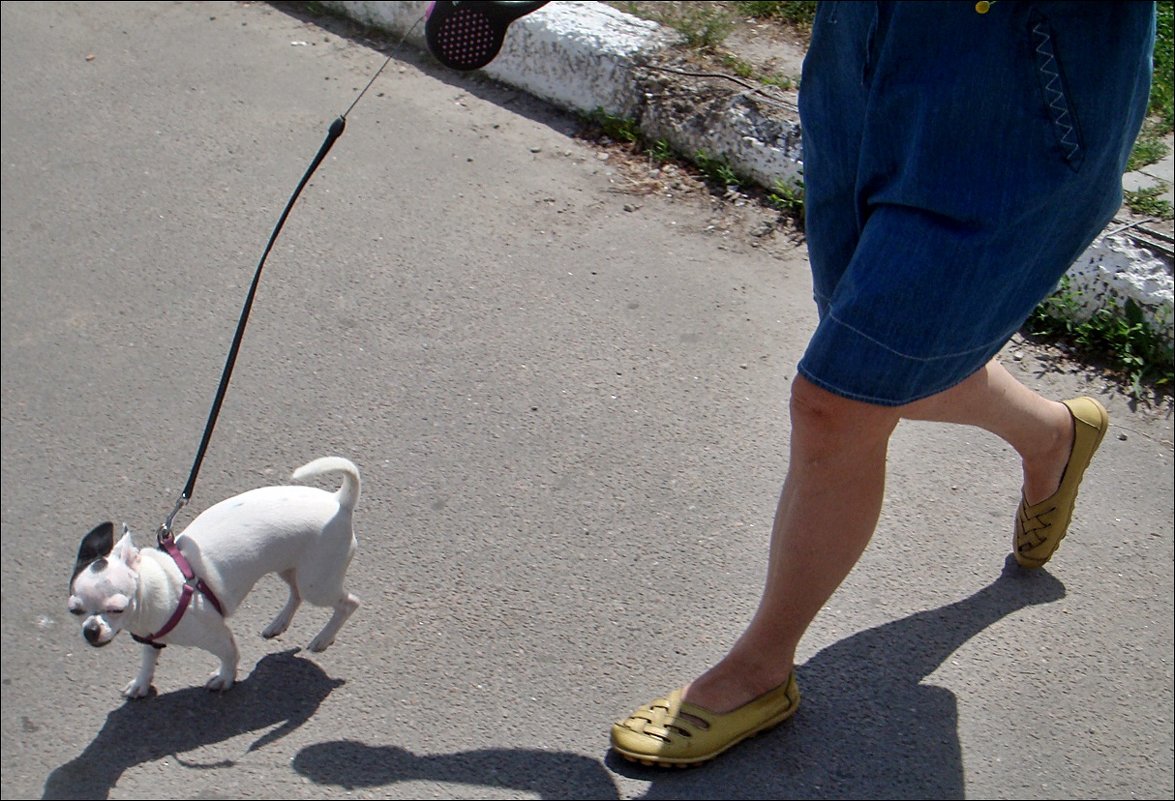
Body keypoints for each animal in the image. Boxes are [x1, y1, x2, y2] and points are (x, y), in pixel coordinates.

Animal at [68, 458, 359, 695]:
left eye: (116, 609)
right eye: (75, 611)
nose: (91, 630)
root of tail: (338, 502)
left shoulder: (217, 635)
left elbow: (230, 656)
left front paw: (224, 678)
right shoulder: (152, 638)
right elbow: (148, 660)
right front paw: (141, 683)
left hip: (316, 584)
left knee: (348, 603)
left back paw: (323, 638)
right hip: (291, 568)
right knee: (295, 593)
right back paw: (278, 623)